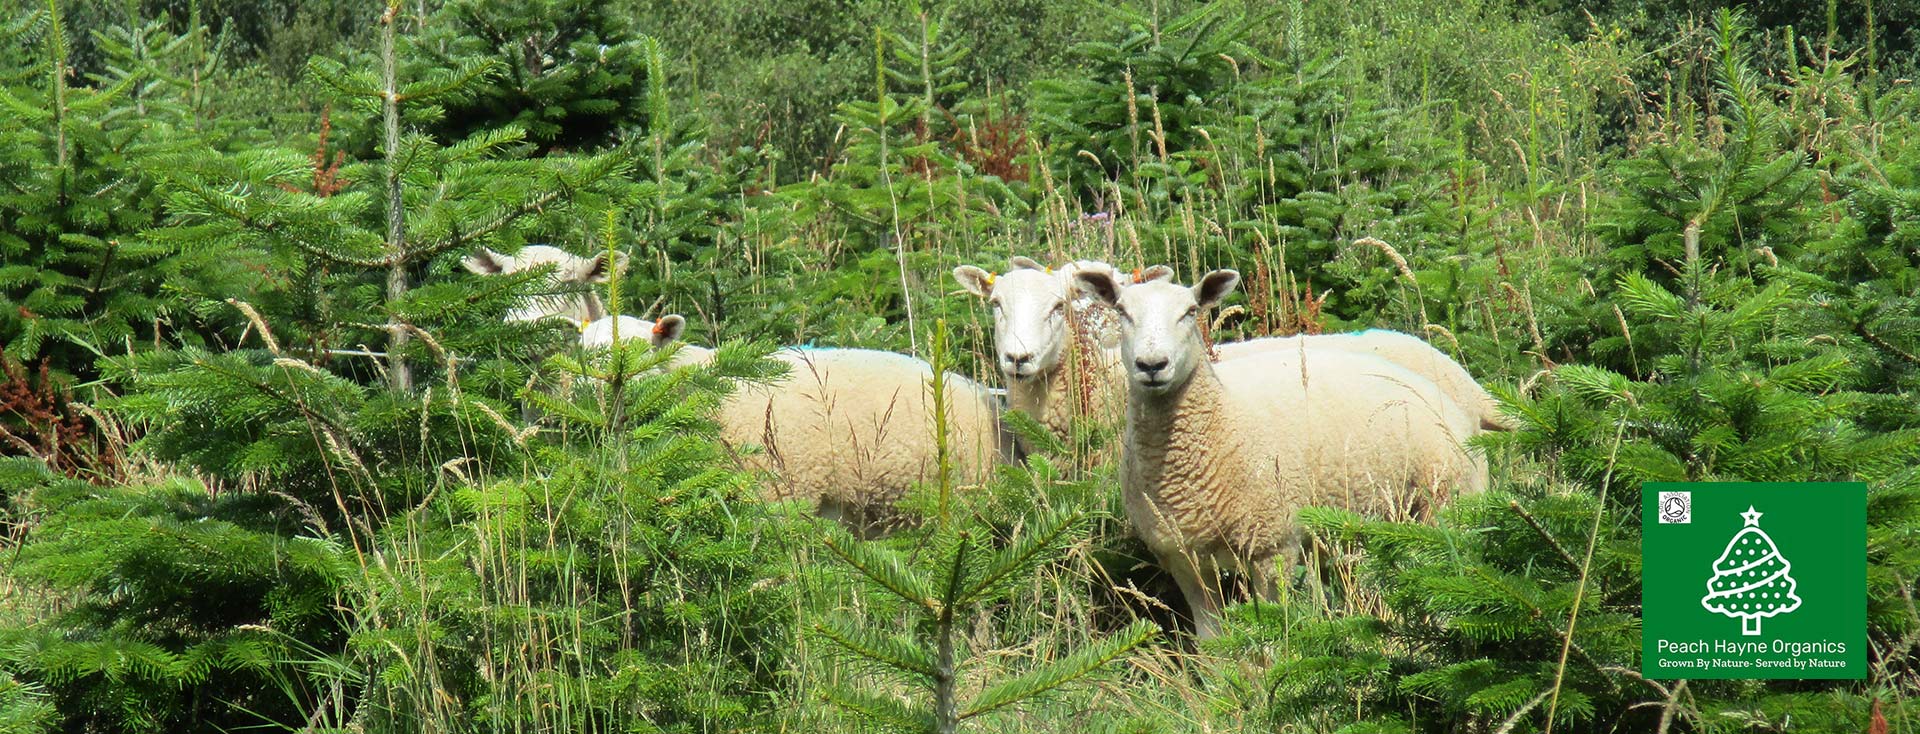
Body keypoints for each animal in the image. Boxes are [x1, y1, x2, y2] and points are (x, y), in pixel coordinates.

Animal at [579, 313, 1006, 530]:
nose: (590, 390)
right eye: (581, 351)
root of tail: (979, 392)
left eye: (638, 351)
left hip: (961, 493)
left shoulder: (778, 491)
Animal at [1082, 269, 1482, 637]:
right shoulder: (1185, 560)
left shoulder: (1273, 546)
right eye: (1121, 311)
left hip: (1447, 505)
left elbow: (1274, 634)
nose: (1152, 365)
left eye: (1190, 311)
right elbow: (1211, 644)